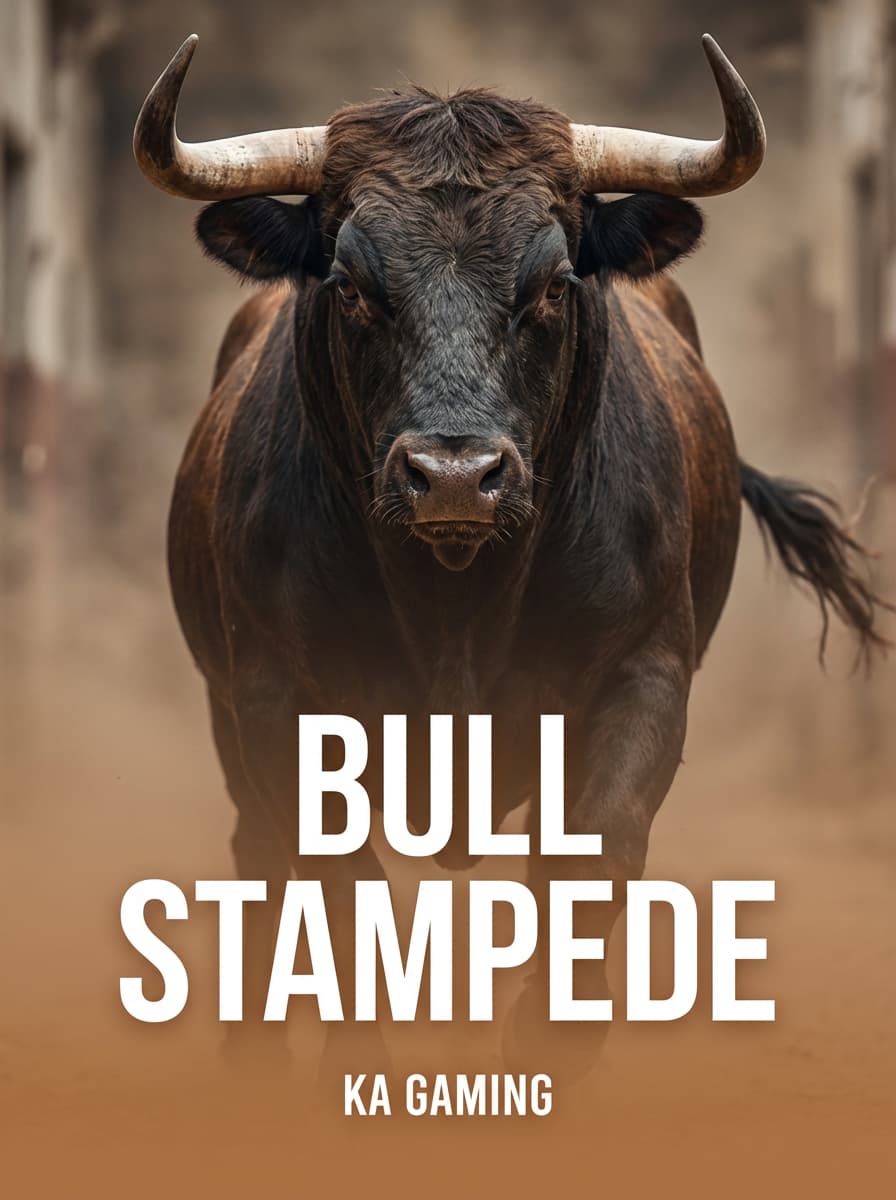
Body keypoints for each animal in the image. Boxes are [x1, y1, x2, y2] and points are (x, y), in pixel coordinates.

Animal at [134, 34, 889, 1084]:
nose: (454, 477)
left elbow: (594, 862)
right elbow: (333, 889)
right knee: (257, 856)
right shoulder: (273, 695)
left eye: (552, 283)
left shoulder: (641, 678)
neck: (458, 610)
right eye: (351, 285)